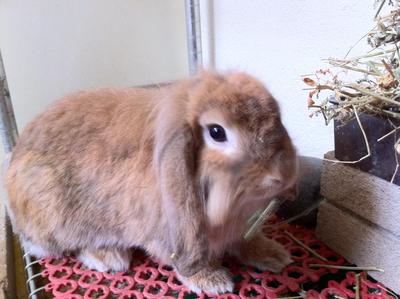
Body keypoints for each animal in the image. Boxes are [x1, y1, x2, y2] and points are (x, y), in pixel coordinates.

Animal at [3, 71, 296, 296]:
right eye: (217, 132)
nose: (280, 176)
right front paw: (212, 281)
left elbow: (244, 241)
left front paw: (274, 254)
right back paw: (109, 257)